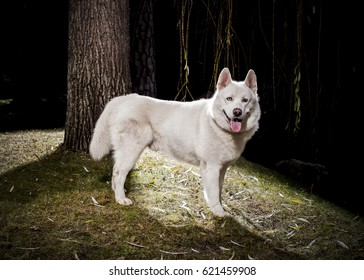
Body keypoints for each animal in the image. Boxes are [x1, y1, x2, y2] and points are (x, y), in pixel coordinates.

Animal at [91, 68, 262, 217]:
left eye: (245, 101)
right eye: (229, 99)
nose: (237, 112)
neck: (216, 123)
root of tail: (124, 98)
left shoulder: (222, 168)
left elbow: (219, 190)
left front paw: (218, 208)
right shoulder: (212, 167)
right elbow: (213, 193)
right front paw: (219, 212)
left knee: (115, 170)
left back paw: (116, 192)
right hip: (132, 150)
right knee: (119, 173)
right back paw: (121, 199)